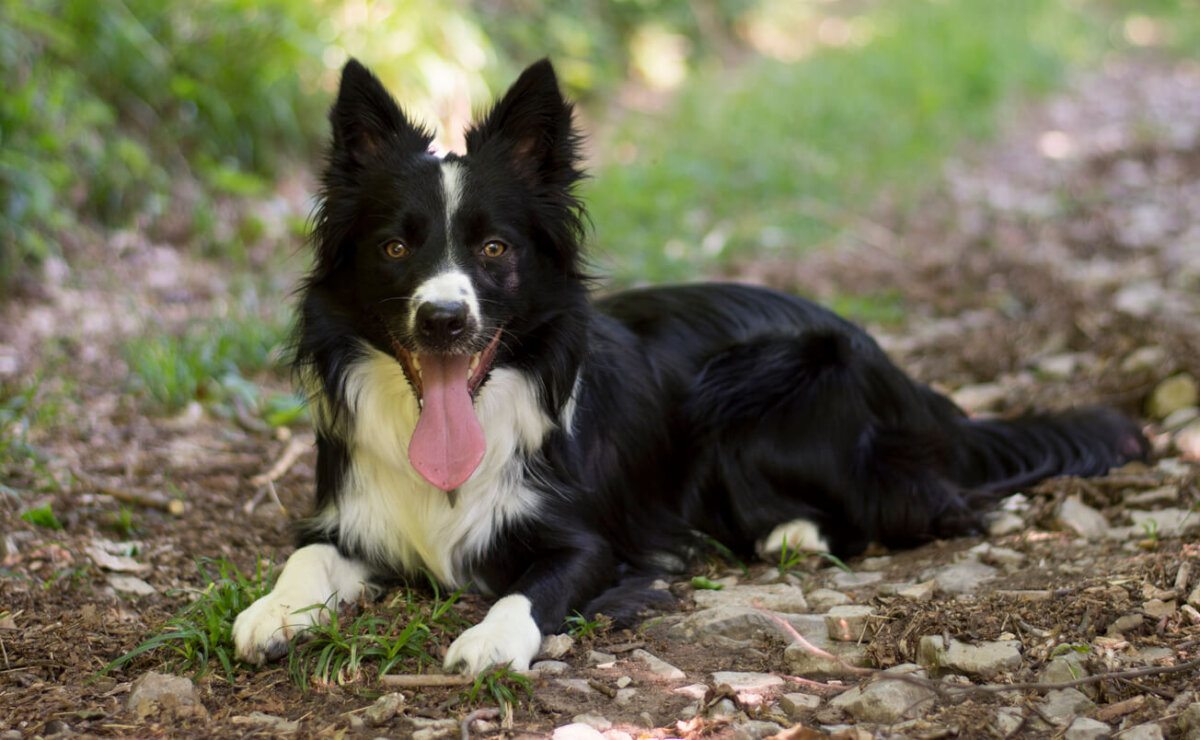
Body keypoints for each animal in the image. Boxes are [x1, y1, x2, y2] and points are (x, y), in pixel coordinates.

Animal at [231, 56, 1142, 671]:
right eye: (394, 248)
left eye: (494, 249)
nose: (445, 320)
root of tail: (913, 388)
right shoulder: (349, 517)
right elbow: (306, 555)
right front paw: (273, 611)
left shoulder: (591, 540)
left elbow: (534, 587)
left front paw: (491, 638)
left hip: (762, 383)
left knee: (927, 506)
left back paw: (789, 532)